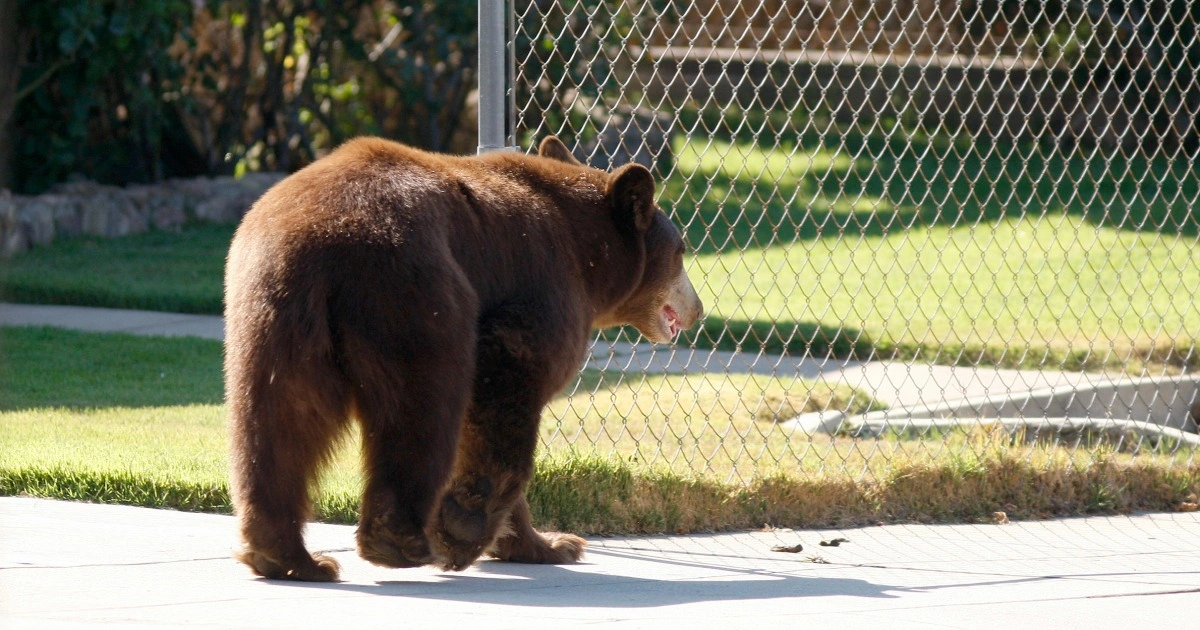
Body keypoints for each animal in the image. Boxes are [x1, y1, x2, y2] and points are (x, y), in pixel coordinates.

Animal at [225, 133, 700, 580]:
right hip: (413, 291)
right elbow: (507, 386)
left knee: (279, 422)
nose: (696, 308)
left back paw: (288, 557)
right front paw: (466, 528)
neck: (590, 257)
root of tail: (321, 237)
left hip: (273, 314)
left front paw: (550, 543)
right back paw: (400, 542)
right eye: (681, 251)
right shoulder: (543, 287)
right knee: (424, 404)